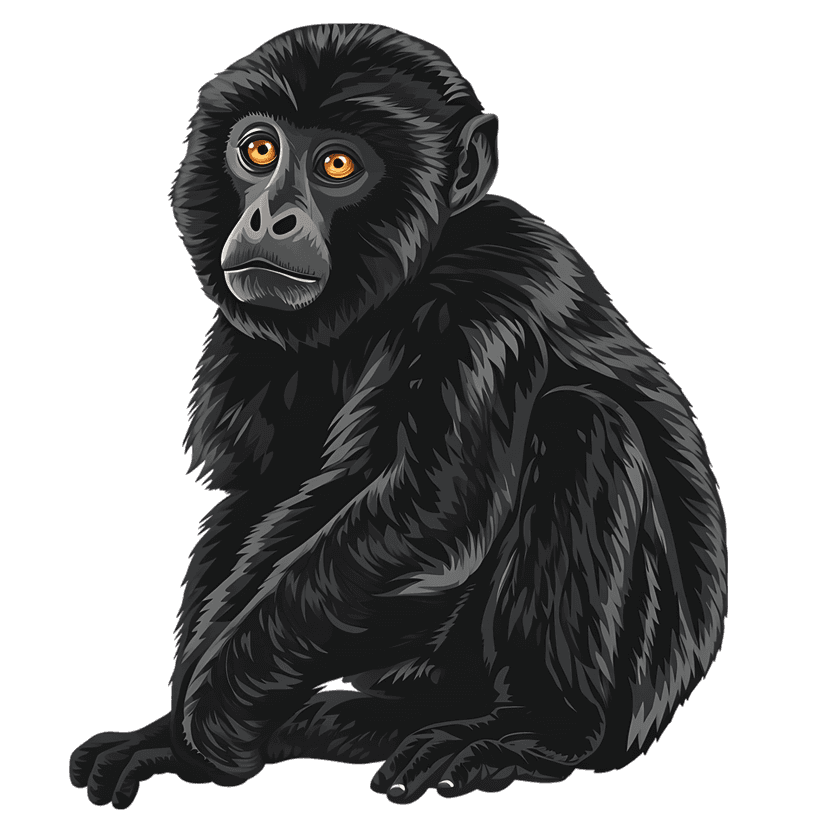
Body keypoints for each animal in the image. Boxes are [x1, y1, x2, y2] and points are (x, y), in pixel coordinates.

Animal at [69, 23, 726, 808]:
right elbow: (259, 497)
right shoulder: (247, 339)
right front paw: (170, 735)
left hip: (622, 696)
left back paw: (528, 732)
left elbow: (428, 507)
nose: (268, 216)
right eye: (258, 150)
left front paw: (209, 727)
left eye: (337, 164)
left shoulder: (487, 297)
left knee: (583, 423)